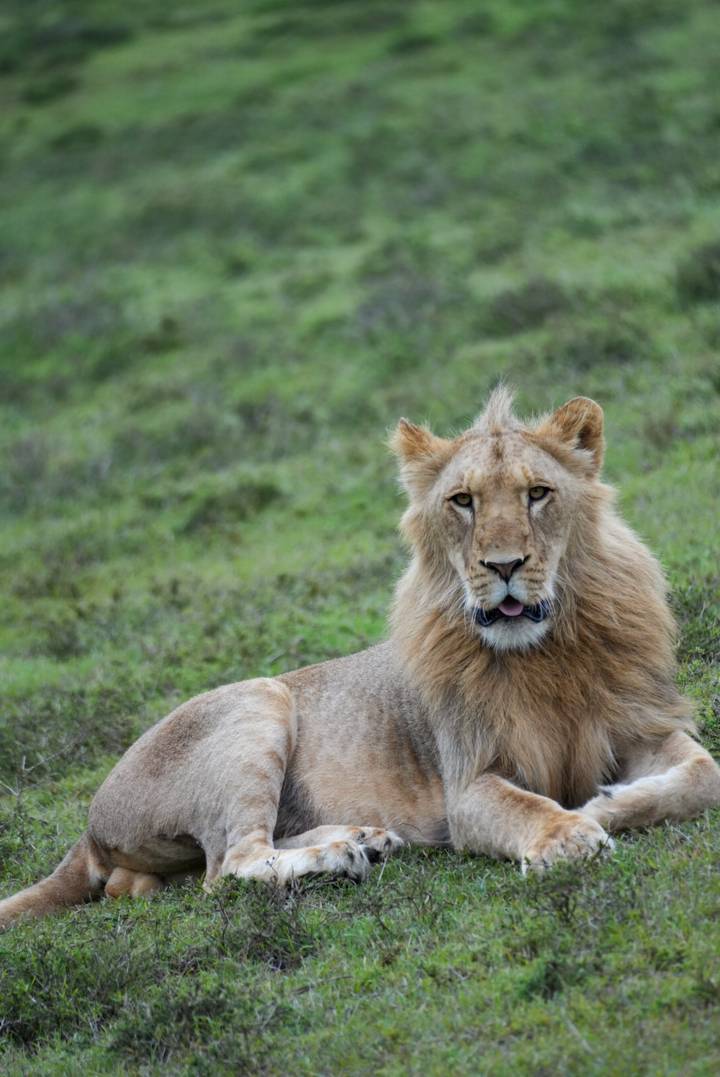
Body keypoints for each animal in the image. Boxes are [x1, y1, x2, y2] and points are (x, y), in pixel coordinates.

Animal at [2, 389, 719, 928]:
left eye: (538, 493)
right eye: (463, 501)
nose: (504, 566)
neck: (547, 654)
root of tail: (89, 822)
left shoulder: (641, 725)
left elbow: (702, 775)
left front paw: (604, 801)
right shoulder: (468, 784)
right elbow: (530, 808)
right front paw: (572, 831)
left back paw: (364, 839)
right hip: (259, 698)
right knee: (229, 866)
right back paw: (342, 858)